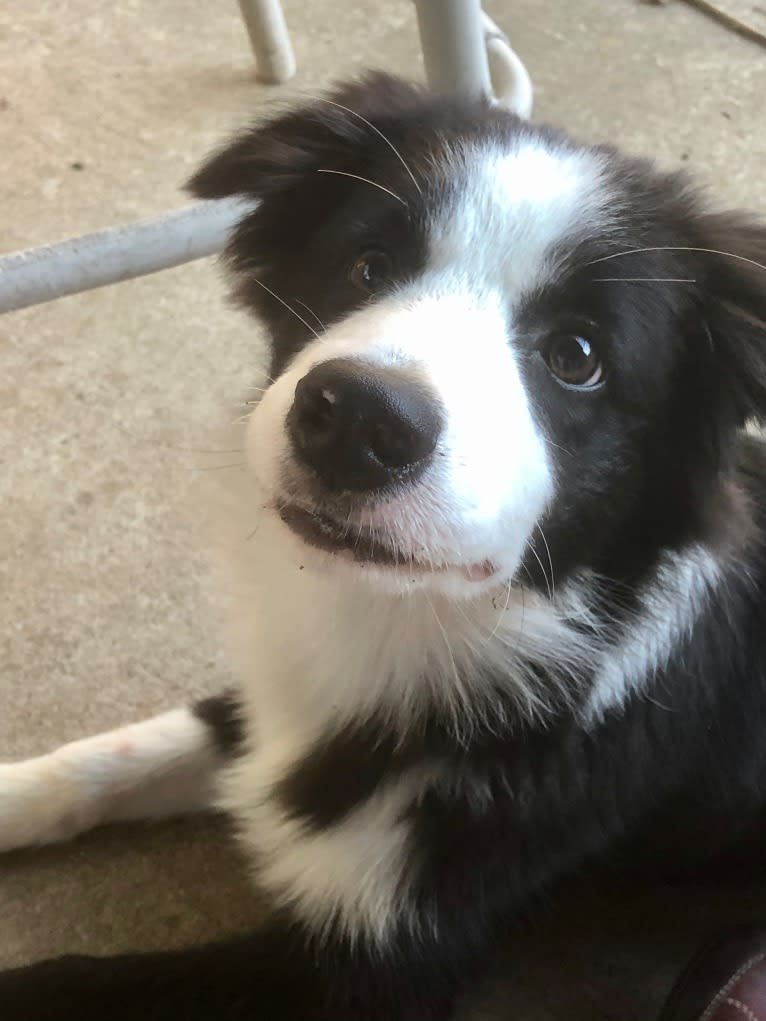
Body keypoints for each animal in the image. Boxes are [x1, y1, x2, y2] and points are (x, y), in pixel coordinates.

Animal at [1, 74, 766, 1021]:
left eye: (578, 355)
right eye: (367, 266)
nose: (360, 419)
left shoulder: (371, 966)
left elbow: (75, 981)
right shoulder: (275, 710)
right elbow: (116, 756)